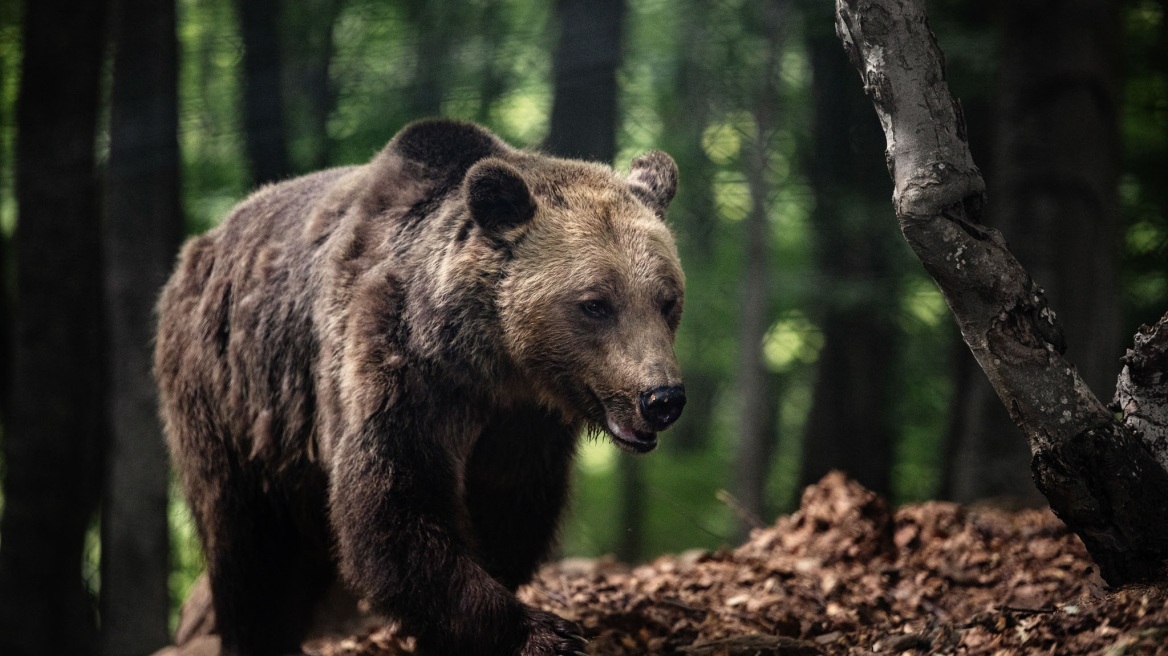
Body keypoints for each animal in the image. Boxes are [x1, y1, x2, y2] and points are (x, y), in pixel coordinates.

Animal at [155, 118, 682, 653]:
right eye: (595, 303)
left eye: (667, 300)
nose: (661, 398)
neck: (495, 362)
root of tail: (198, 248)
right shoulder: (401, 368)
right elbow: (393, 507)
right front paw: (543, 631)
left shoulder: (521, 426)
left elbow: (509, 514)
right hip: (229, 393)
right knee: (246, 541)